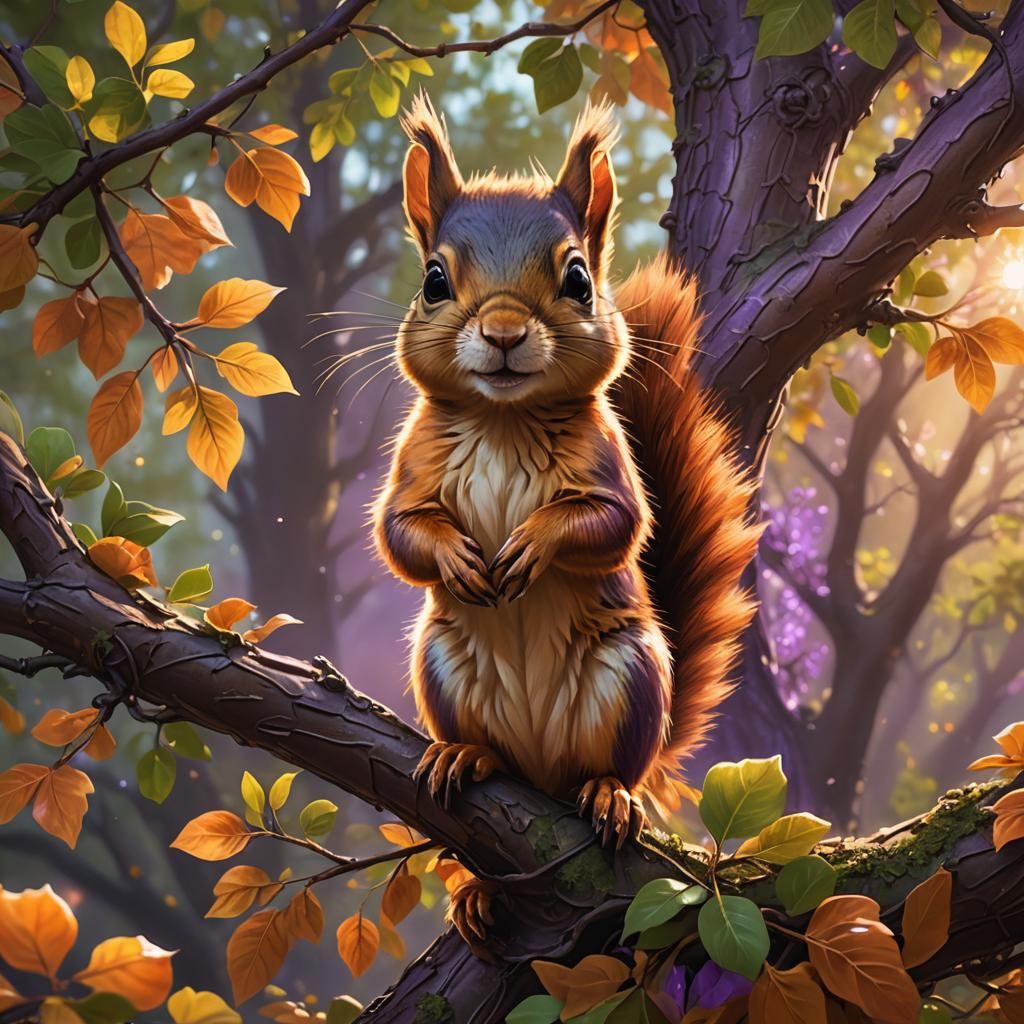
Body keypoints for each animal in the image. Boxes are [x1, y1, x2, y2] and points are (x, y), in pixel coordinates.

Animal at [372, 95, 761, 943]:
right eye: (434, 280)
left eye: (578, 278)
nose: (504, 333)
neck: (504, 418)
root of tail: (543, 774)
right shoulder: (411, 469)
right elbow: (400, 534)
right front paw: (458, 558)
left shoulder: (610, 469)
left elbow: (614, 525)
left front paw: (530, 547)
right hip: (444, 670)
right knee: (494, 768)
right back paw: (467, 775)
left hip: (628, 675)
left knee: (609, 770)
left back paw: (611, 795)